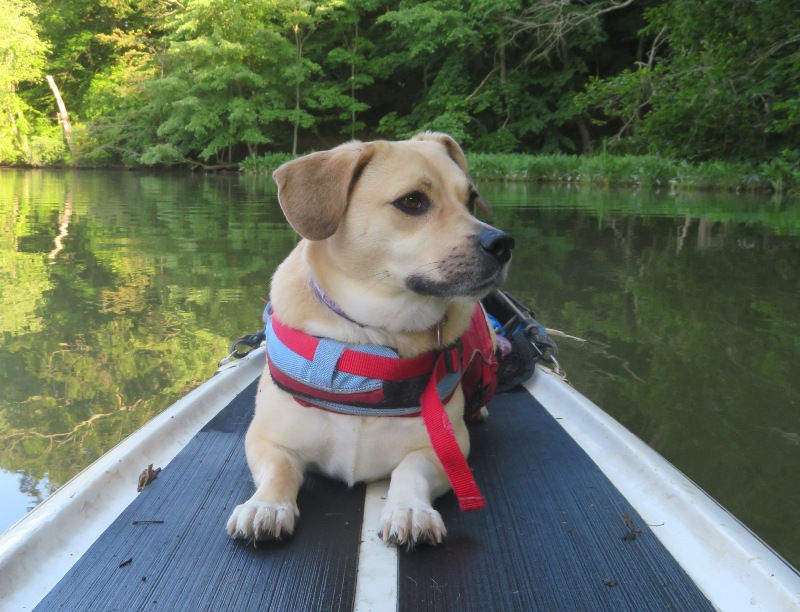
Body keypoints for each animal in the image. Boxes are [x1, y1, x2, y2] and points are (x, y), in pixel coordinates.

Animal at [227, 131, 512, 548]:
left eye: (471, 199)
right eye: (412, 201)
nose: (503, 243)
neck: (369, 340)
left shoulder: (447, 447)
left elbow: (410, 469)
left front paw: (409, 509)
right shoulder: (268, 439)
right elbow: (280, 468)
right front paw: (267, 505)